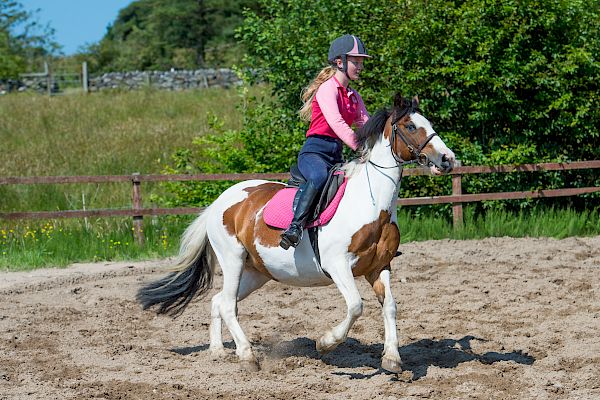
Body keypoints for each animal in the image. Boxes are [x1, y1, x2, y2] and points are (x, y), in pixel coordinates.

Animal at [136, 94, 454, 372]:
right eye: (411, 126)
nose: (447, 159)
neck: (371, 201)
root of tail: (219, 201)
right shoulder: (338, 265)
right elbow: (355, 306)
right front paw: (325, 343)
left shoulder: (379, 266)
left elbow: (390, 307)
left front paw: (392, 359)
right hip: (233, 260)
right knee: (227, 305)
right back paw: (248, 357)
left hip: (258, 272)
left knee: (218, 300)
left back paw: (218, 352)